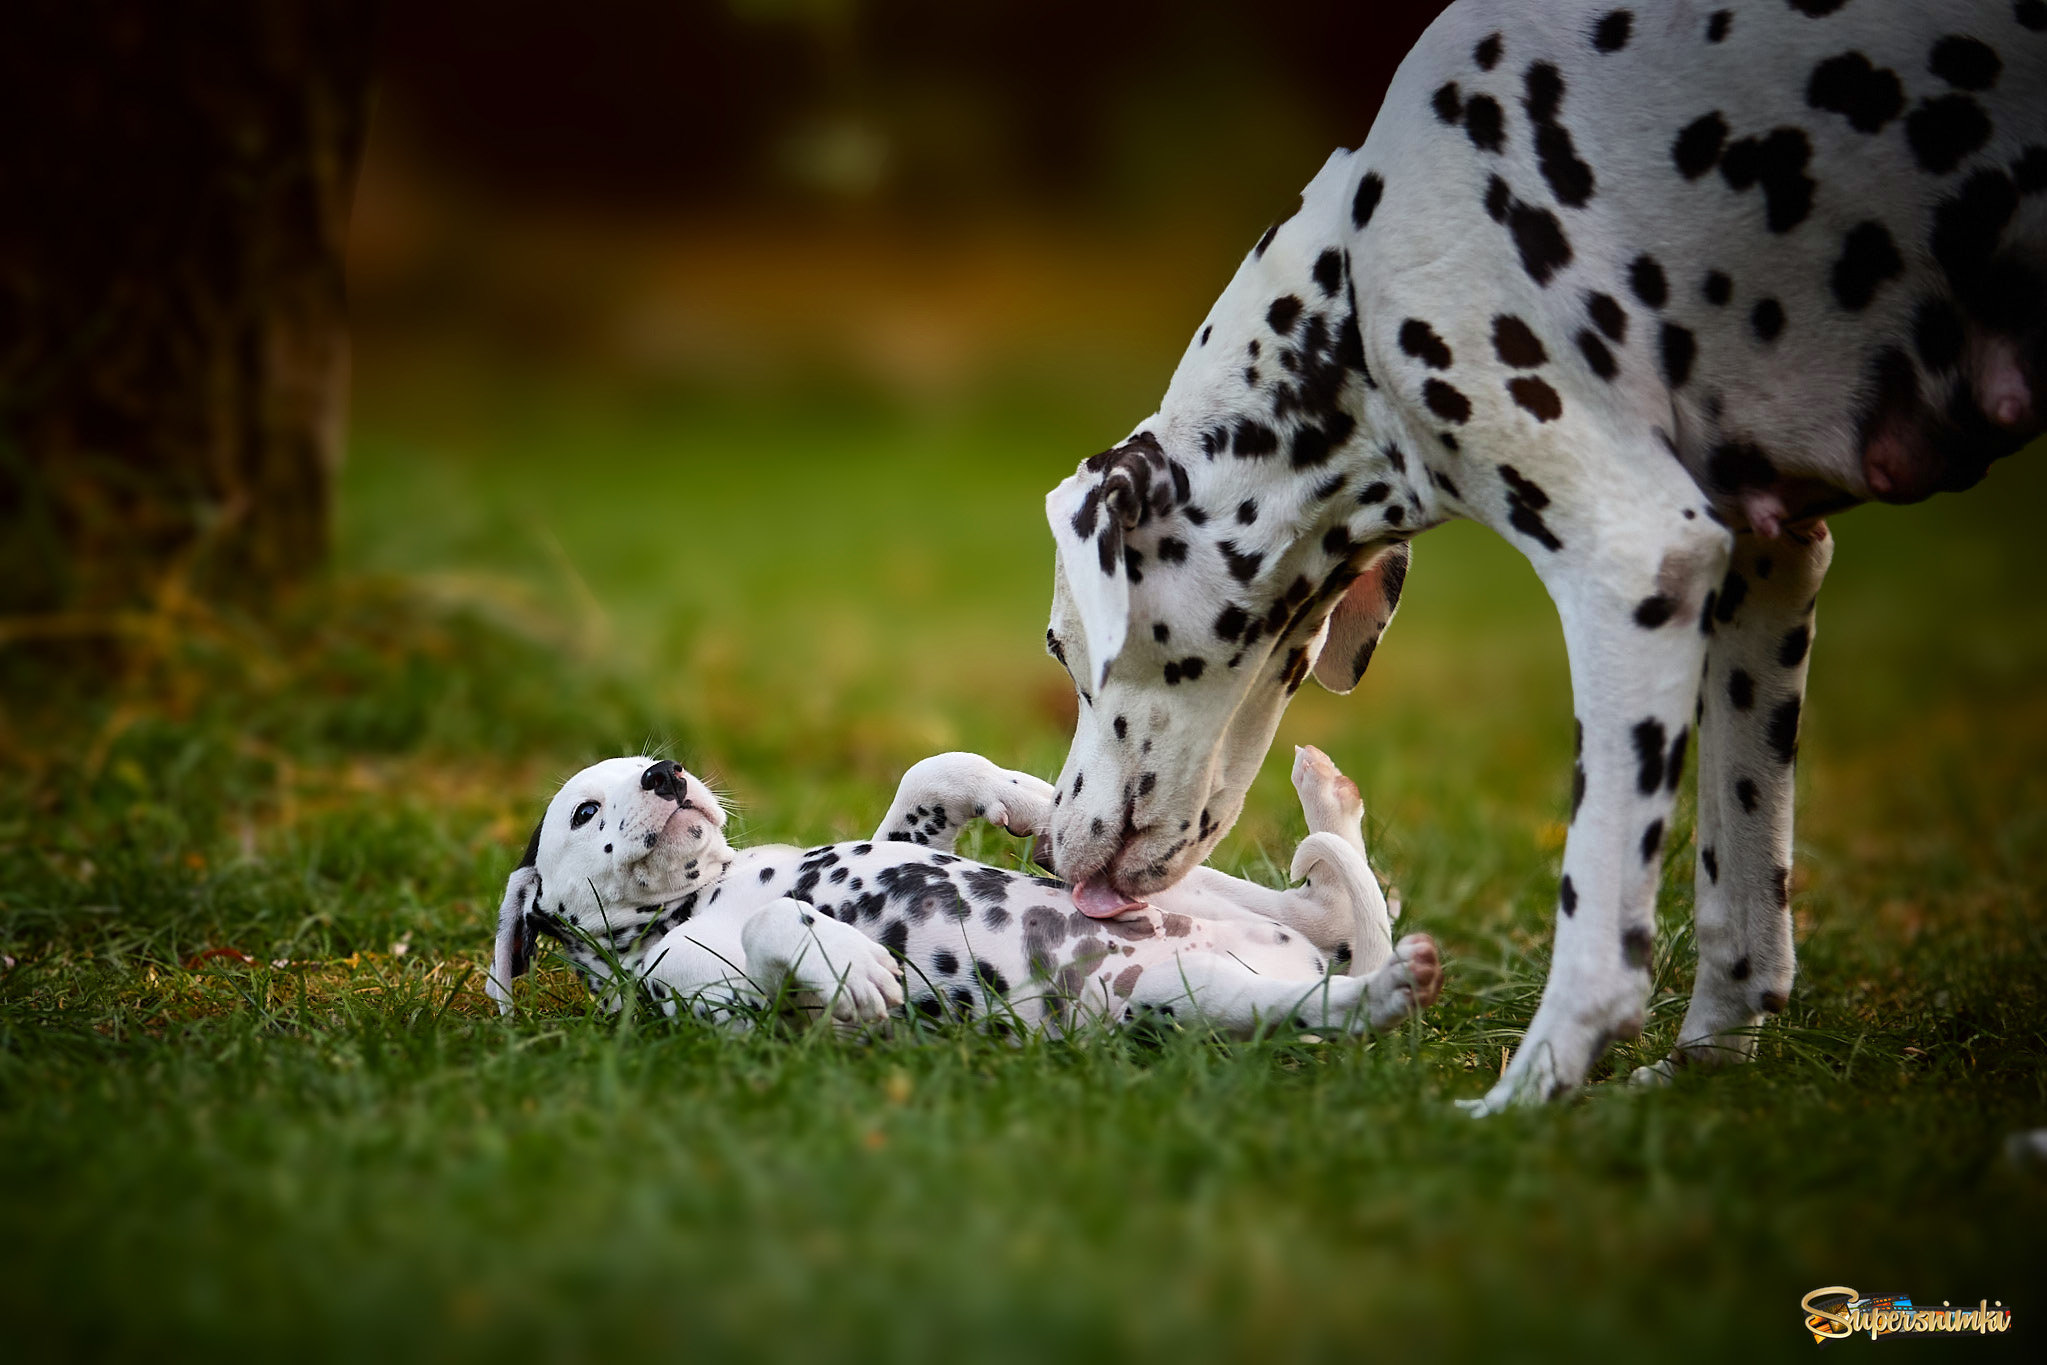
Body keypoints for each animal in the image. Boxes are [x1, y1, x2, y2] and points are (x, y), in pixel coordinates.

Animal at [481, 749, 1449, 1035]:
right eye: (584, 809)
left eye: (648, 760)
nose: (667, 773)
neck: (699, 896)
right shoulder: (745, 1018)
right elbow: (774, 922)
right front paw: (851, 961)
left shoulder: (903, 833)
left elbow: (932, 773)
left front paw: (1021, 796)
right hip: (1189, 997)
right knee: (1329, 994)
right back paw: (1388, 988)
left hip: (1202, 895)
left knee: (1330, 904)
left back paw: (1329, 801)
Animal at [1039, 0, 2046, 1113]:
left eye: (1061, 650)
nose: (1045, 845)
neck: (1359, 267)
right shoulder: (1764, 567)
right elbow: (1738, 902)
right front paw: (1698, 1072)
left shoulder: (1635, 561)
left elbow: (1597, 920)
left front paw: (1525, 1099)